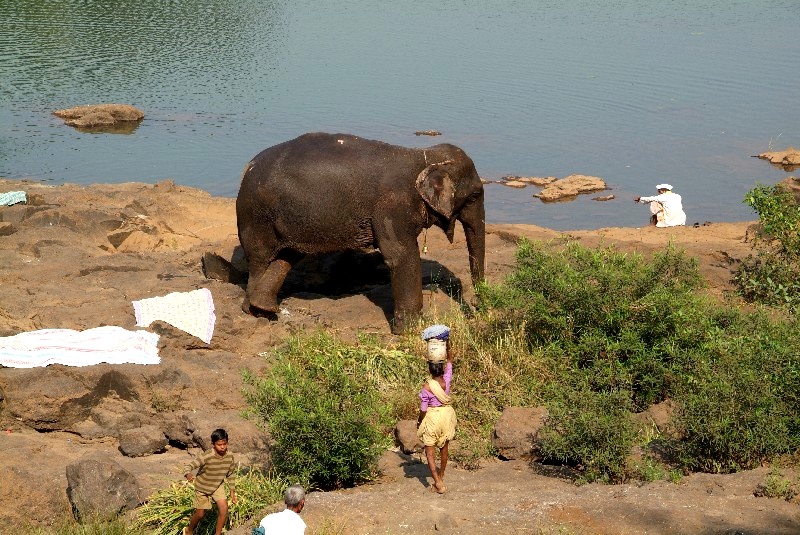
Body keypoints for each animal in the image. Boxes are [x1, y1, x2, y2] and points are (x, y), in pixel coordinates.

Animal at [236, 132, 488, 332]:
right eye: (475, 195)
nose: (477, 307)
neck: (425, 157)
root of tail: (248, 167)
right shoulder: (391, 207)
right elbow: (400, 256)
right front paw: (411, 330)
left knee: (286, 257)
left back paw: (264, 308)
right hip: (257, 215)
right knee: (261, 259)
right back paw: (255, 312)